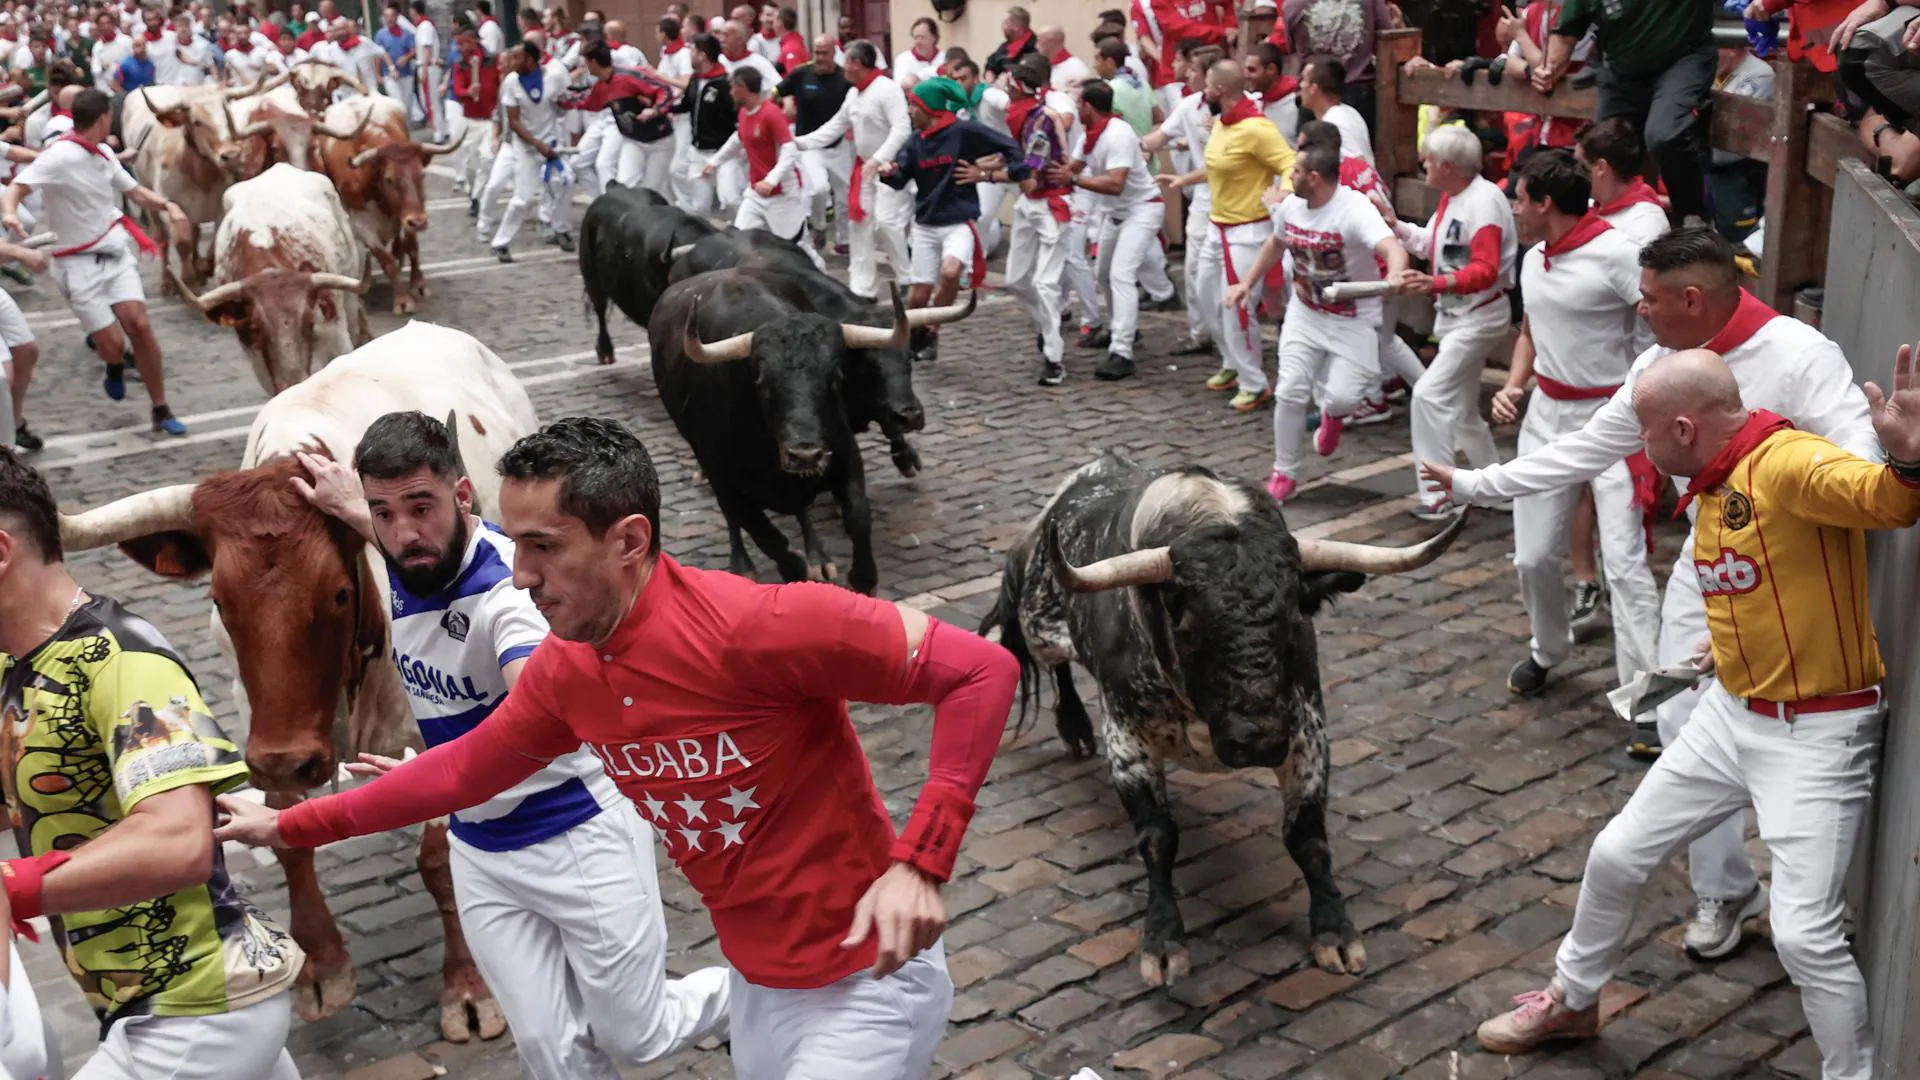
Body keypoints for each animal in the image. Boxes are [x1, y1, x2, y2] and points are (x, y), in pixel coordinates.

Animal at [54, 320, 533, 1045]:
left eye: (338, 593)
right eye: (220, 599)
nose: (289, 757)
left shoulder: (435, 719)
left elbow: (441, 856)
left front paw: (469, 988)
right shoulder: (258, 711)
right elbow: (286, 832)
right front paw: (321, 968)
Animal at [174, 164, 380, 390]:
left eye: (309, 322)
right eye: (255, 328)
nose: (293, 381)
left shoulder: (335, 335)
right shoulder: (257, 359)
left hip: (350, 295)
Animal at [652, 267, 975, 588]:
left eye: (836, 375)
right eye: (762, 380)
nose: (804, 453)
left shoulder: (844, 456)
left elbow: (858, 516)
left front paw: (860, 576)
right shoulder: (726, 479)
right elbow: (765, 535)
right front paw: (791, 569)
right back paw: (746, 565)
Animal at [983, 453, 1459, 983]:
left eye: (1294, 619)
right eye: (1188, 625)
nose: (1256, 741)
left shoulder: (1306, 733)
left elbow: (1309, 839)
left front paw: (1334, 930)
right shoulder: (1127, 740)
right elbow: (1157, 838)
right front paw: (1163, 941)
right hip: (1039, 623)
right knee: (1052, 661)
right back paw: (1073, 727)